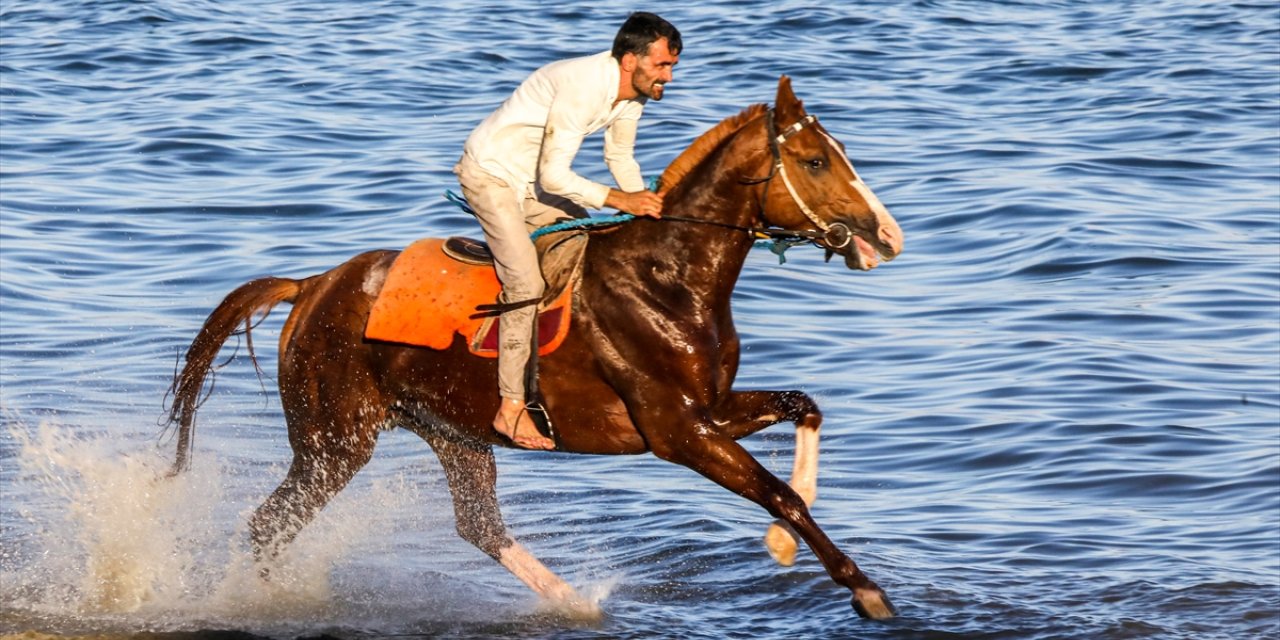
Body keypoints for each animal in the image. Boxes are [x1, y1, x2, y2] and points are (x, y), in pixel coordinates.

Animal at [165, 76, 906, 619]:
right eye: (815, 161)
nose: (888, 236)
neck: (666, 278)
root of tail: (313, 286)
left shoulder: (712, 409)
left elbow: (804, 408)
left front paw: (783, 546)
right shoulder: (679, 432)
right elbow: (780, 494)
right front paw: (864, 590)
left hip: (452, 434)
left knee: (479, 527)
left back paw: (578, 605)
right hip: (334, 443)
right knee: (268, 525)